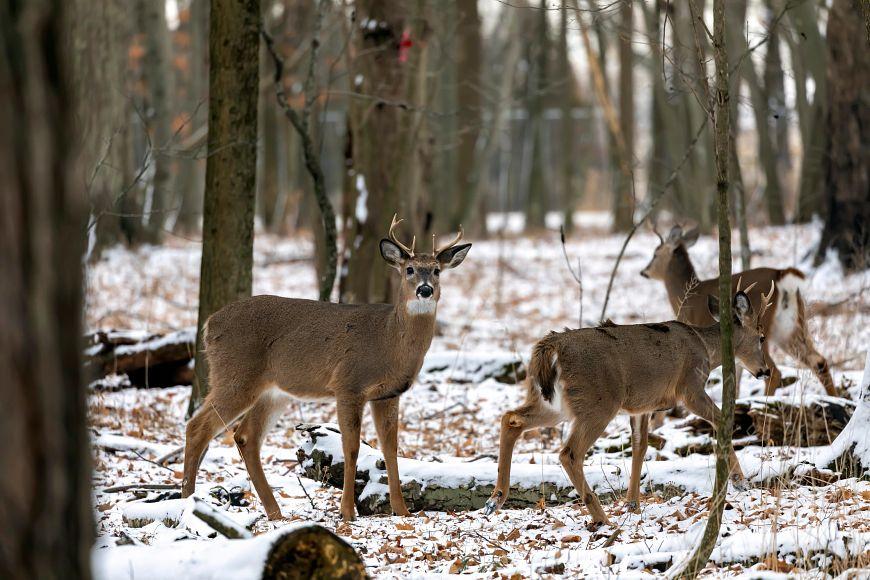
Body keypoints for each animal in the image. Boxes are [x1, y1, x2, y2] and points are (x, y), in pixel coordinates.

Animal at [180, 214, 474, 520]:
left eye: (437, 271)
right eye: (409, 269)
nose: (425, 290)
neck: (389, 340)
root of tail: (209, 324)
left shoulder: (388, 394)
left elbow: (391, 448)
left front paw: (401, 510)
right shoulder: (348, 384)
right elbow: (352, 447)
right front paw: (347, 511)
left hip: (273, 392)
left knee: (245, 436)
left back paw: (275, 512)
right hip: (235, 375)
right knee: (197, 427)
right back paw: (188, 499)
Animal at [484, 290, 776, 524]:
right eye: (762, 337)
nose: (765, 371)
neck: (706, 347)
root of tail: (548, 349)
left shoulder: (642, 406)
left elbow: (639, 446)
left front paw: (632, 504)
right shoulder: (689, 388)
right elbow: (721, 419)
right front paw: (741, 482)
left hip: (553, 404)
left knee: (511, 419)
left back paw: (494, 499)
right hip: (598, 403)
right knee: (569, 453)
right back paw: (601, 518)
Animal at [640, 224, 836, 396]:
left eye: (655, 254)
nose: (644, 271)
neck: (687, 295)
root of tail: (781, 275)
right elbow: (735, 385)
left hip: (764, 327)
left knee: (774, 372)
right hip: (790, 328)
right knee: (819, 361)